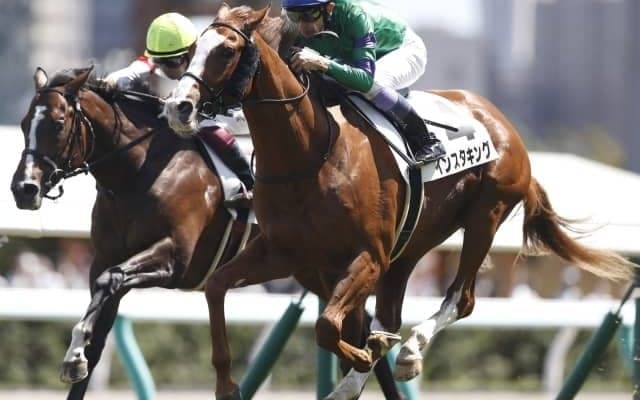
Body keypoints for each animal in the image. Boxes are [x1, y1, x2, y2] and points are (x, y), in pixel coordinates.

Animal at [10, 66, 405, 400]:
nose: (24, 188)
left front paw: (73, 354)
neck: (137, 175)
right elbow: (96, 335)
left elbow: (113, 278)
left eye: (58, 123)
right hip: (317, 272)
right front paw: (76, 356)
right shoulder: (103, 261)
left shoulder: (175, 259)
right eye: (25, 122)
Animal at [163, 4, 634, 400]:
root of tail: (497, 119)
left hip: (486, 214)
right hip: (411, 245)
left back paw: (408, 353)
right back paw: (362, 370)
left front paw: (365, 355)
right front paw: (226, 384)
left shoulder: (368, 255)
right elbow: (218, 287)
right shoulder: (285, 253)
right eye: (194, 49)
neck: (309, 154)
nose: (179, 107)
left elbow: (326, 326)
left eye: (226, 50)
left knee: (460, 299)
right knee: (390, 315)